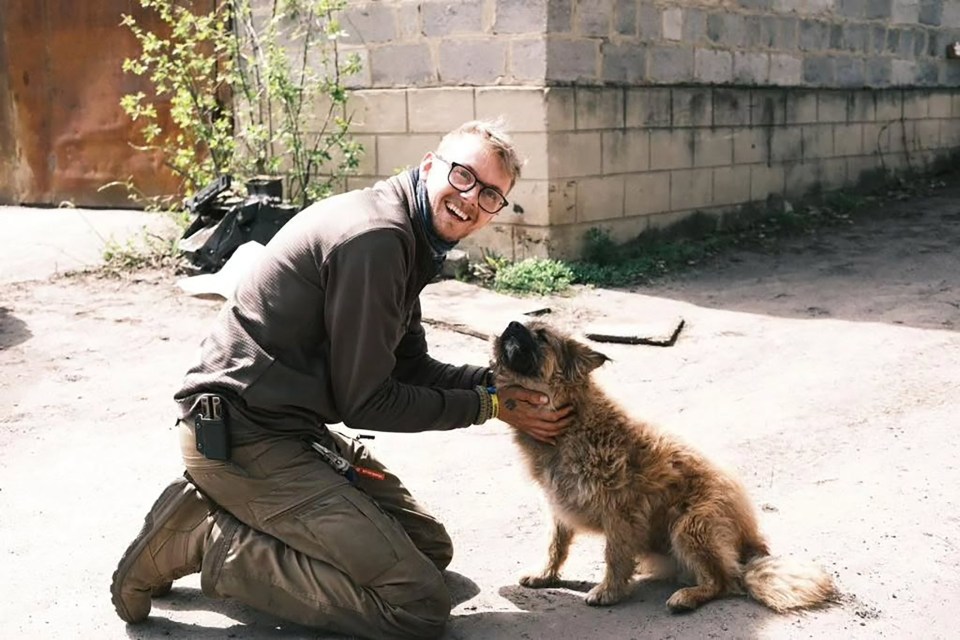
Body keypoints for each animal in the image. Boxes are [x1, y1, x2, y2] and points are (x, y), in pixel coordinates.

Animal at [492, 322, 836, 612]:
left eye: (542, 336)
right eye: (525, 326)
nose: (511, 324)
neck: (572, 423)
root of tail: (752, 546)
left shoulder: (620, 512)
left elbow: (614, 556)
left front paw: (609, 591)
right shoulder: (558, 508)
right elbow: (556, 546)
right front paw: (545, 574)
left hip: (691, 526)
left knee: (726, 580)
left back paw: (688, 597)